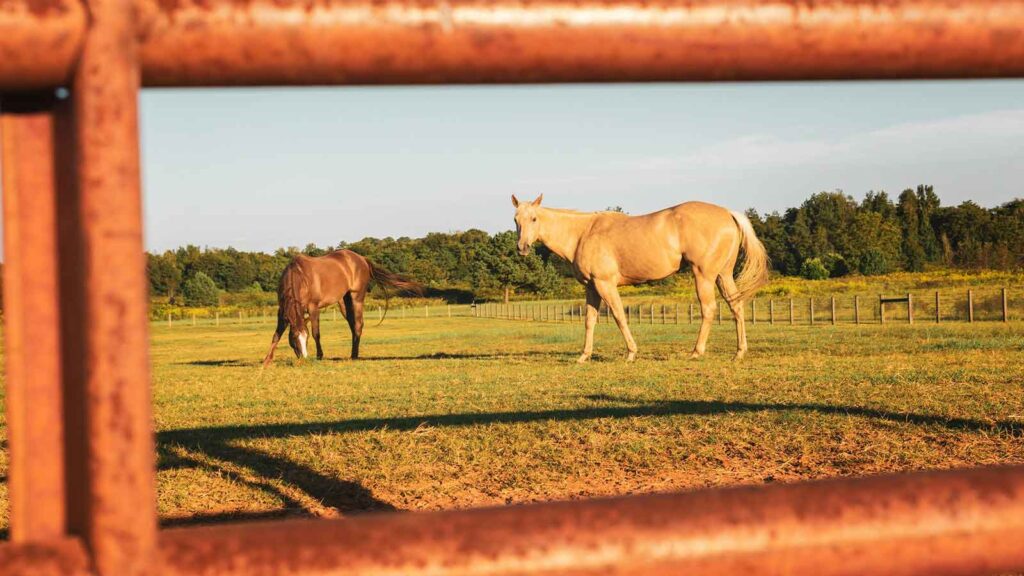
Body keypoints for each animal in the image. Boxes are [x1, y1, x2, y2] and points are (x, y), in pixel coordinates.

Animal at [261, 250, 421, 367]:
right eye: (294, 337)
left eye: (306, 338)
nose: (304, 359)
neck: (299, 275)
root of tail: (362, 259)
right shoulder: (282, 311)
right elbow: (276, 335)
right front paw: (267, 360)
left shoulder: (313, 308)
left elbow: (316, 333)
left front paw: (319, 356)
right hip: (344, 301)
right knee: (353, 325)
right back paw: (353, 353)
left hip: (356, 298)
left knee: (358, 324)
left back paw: (354, 355)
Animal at [512, 194, 770, 363]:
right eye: (516, 219)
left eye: (534, 218)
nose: (522, 248)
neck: (583, 233)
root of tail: (728, 213)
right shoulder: (591, 288)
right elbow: (590, 320)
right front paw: (584, 355)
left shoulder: (605, 284)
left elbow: (618, 316)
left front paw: (631, 353)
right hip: (723, 276)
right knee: (736, 306)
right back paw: (739, 352)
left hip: (703, 275)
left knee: (708, 309)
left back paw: (697, 351)